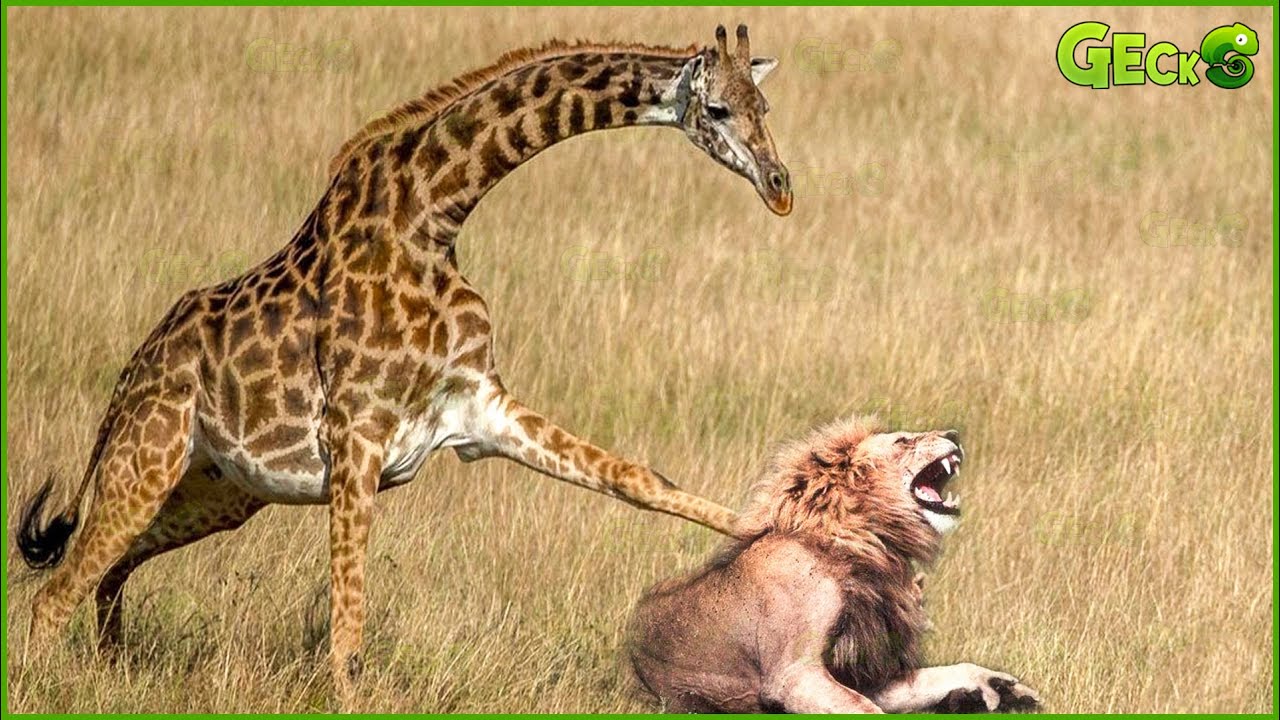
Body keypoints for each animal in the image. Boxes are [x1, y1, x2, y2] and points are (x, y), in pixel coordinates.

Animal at [16, 24, 791, 703]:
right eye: (717, 108)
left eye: (765, 107)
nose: (781, 187)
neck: (433, 214)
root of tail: (131, 373)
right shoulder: (356, 436)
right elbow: (347, 629)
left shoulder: (478, 407)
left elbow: (636, 478)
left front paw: (777, 530)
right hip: (148, 460)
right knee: (55, 594)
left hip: (219, 490)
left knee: (108, 570)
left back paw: (113, 669)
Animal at [628, 416, 1040, 713]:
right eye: (903, 440)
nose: (954, 433)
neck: (868, 546)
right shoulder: (794, 676)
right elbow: (866, 709)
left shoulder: (866, 674)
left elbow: (945, 673)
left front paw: (1000, 687)